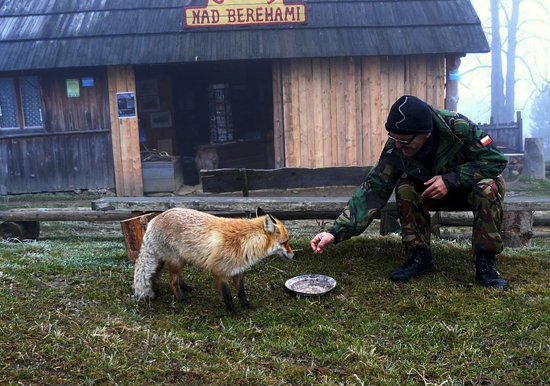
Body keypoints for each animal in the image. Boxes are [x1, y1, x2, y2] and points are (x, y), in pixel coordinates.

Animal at [134, 208, 296, 314]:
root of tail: (153, 220)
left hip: (182, 260)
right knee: (172, 282)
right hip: (176, 261)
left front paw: (246, 305)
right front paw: (232, 312)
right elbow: (227, 295)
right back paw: (182, 299)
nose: (293, 255)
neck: (244, 242)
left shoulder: (238, 271)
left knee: (177, 279)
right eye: (285, 241)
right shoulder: (219, 272)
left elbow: (241, 292)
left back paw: (186, 287)